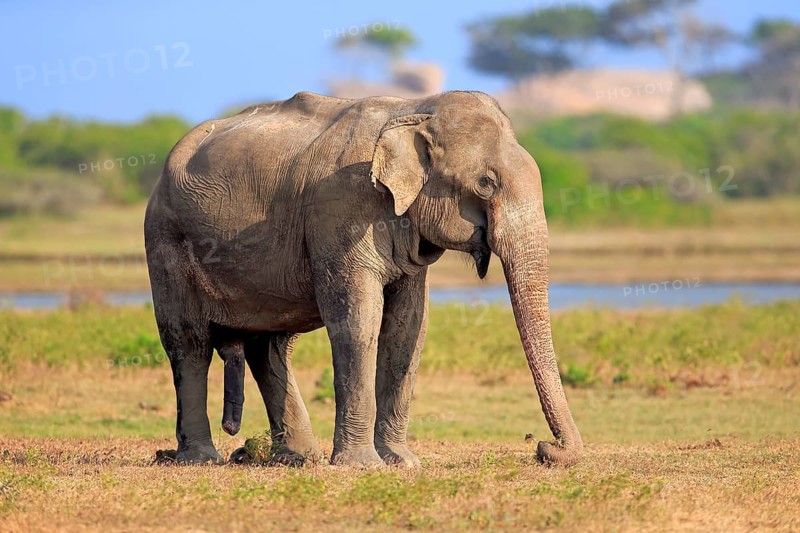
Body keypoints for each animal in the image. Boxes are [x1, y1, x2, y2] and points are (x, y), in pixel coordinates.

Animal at [144, 90, 583, 467]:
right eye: (486, 184)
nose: (545, 447)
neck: (415, 110)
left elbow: (409, 328)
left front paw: (402, 462)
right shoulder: (342, 208)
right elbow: (357, 321)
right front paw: (362, 466)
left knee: (269, 347)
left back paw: (298, 458)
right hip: (164, 240)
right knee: (188, 342)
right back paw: (202, 459)